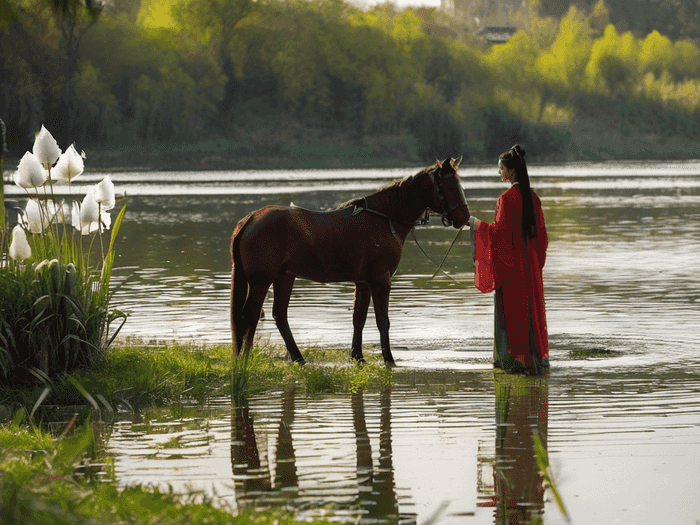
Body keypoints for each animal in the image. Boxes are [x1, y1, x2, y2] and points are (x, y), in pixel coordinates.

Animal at [231, 156, 470, 364]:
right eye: (449, 186)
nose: (464, 218)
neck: (385, 219)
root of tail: (251, 219)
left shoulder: (363, 282)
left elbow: (359, 319)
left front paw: (357, 356)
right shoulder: (381, 280)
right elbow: (382, 321)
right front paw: (388, 358)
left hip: (284, 277)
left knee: (279, 315)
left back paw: (297, 357)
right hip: (262, 280)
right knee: (250, 314)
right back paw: (246, 358)